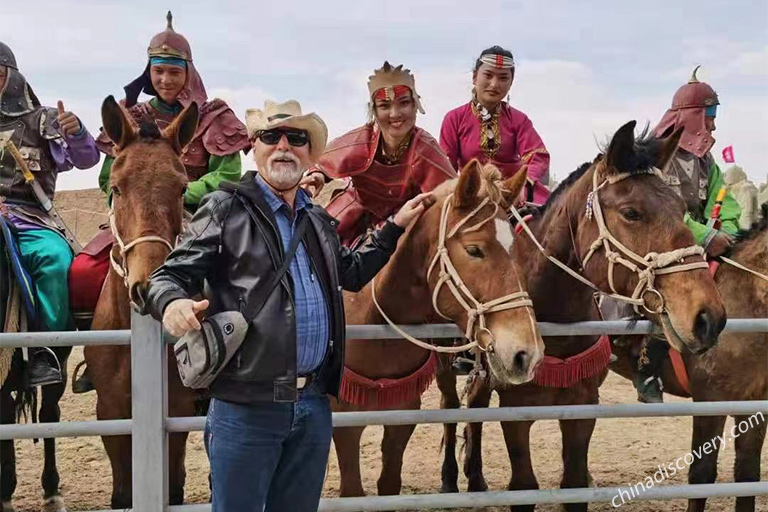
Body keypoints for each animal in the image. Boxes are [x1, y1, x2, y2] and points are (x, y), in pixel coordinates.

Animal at [82, 96, 200, 508]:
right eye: (117, 188)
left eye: (182, 189)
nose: (148, 287)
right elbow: (122, 492)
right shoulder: (111, 412)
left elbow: (175, 486)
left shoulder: (178, 410)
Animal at [332, 159, 544, 496]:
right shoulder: (344, 420)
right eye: (474, 250)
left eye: (519, 252)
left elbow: (389, 484)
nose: (527, 353)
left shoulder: (402, 412)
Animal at [438, 119, 728, 508]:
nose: (708, 316)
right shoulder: (516, 409)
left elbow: (574, 483)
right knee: (453, 406)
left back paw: (477, 477)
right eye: (631, 212)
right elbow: (523, 485)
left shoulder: (582, 407)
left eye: (681, 207)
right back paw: (452, 478)